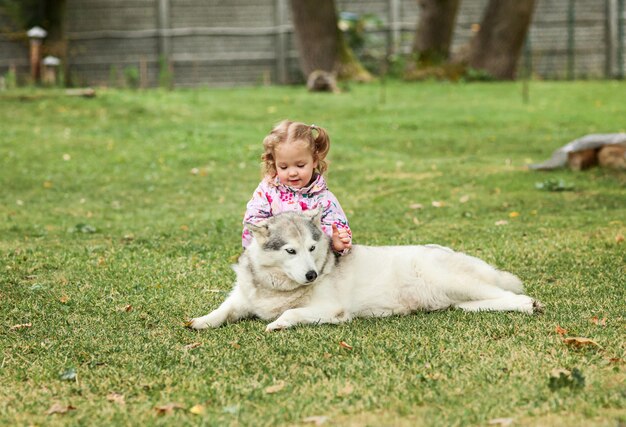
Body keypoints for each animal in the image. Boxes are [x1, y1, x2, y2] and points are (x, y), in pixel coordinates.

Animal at [189, 209, 540, 332]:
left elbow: (290, 314)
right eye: (290, 251)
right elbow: (222, 311)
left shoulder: (332, 310)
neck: (276, 287)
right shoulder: (242, 299)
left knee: (512, 295)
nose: (312, 276)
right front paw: (201, 321)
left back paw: (529, 304)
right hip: (457, 298)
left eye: (312, 249)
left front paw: (277, 323)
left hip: (454, 279)